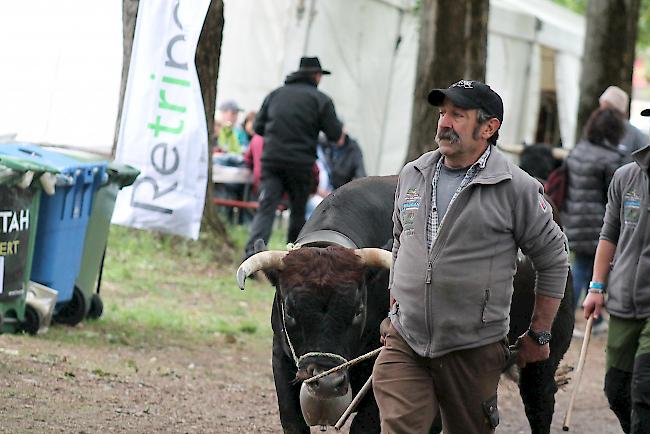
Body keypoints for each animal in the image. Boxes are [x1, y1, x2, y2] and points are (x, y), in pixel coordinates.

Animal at [239, 175, 572, 432]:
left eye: (358, 311)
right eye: (290, 310)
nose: (327, 384)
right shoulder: (282, 359)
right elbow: (292, 419)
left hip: (541, 360)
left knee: (540, 405)